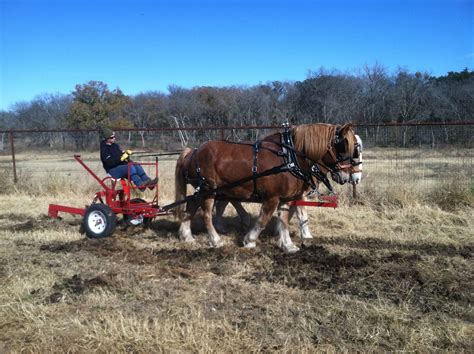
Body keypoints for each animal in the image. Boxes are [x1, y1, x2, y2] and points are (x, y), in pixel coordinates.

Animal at [176, 123, 358, 253]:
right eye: (342, 147)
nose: (346, 177)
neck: (289, 157)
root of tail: (193, 151)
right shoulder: (272, 198)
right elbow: (263, 219)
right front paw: (249, 240)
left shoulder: (286, 198)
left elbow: (284, 220)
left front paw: (288, 245)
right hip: (208, 190)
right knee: (206, 215)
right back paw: (215, 240)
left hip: (203, 191)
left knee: (190, 208)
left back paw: (187, 236)